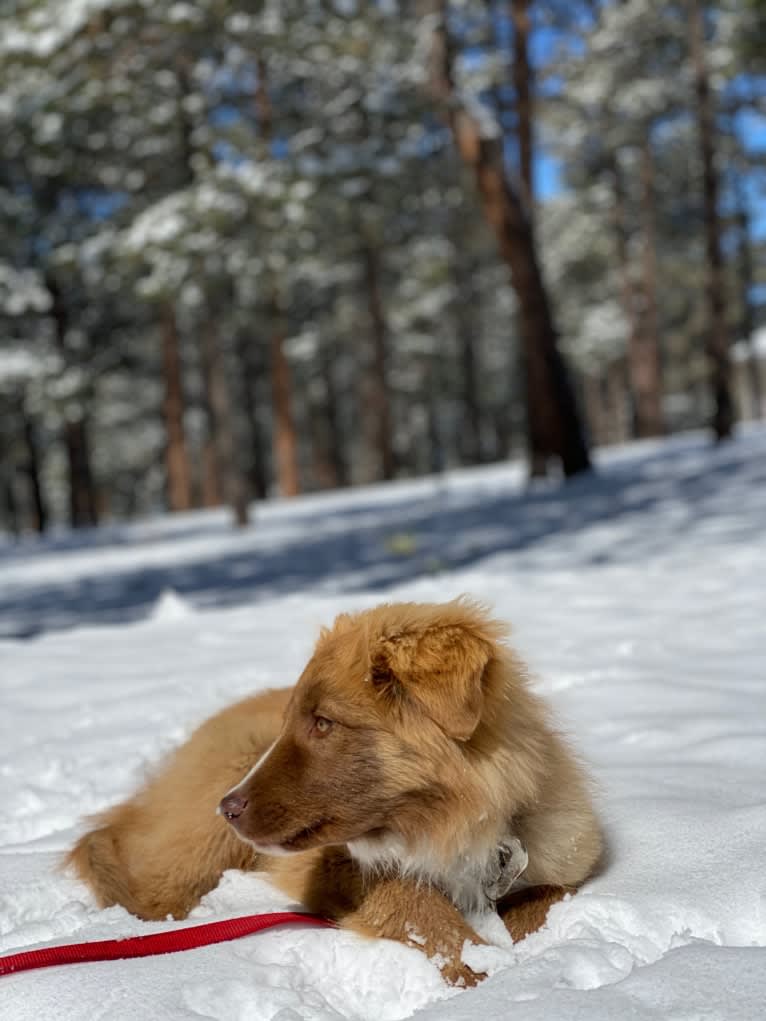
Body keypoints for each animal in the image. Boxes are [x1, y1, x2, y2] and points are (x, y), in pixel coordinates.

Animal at [65, 600, 604, 984]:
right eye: (292, 721)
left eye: (323, 723)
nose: (228, 807)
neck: (449, 831)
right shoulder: (339, 868)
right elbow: (412, 900)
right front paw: (474, 965)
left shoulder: (558, 854)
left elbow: (546, 895)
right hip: (195, 846)